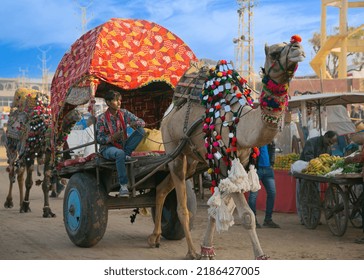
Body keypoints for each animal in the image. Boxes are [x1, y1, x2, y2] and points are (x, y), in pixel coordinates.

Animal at [3, 87, 55, 217]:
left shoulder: (47, 153)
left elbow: (46, 183)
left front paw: (47, 210)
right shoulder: (29, 152)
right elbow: (29, 182)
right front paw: (26, 205)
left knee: (19, 172)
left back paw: (20, 203)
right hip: (12, 145)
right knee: (12, 171)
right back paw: (9, 202)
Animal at [148, 35, 304, 260]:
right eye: (274, 53)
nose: (297, 47)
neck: (241, 125)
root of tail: (167, 114)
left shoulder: (231, 166)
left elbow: (215, 211)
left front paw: (207, 250)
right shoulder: (224, 165)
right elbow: (247, 216)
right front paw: (260, 256)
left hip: (192, 160)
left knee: (161, 189)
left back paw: (155, 238)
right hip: (173, 150)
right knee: (182, 207)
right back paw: (190, 251)